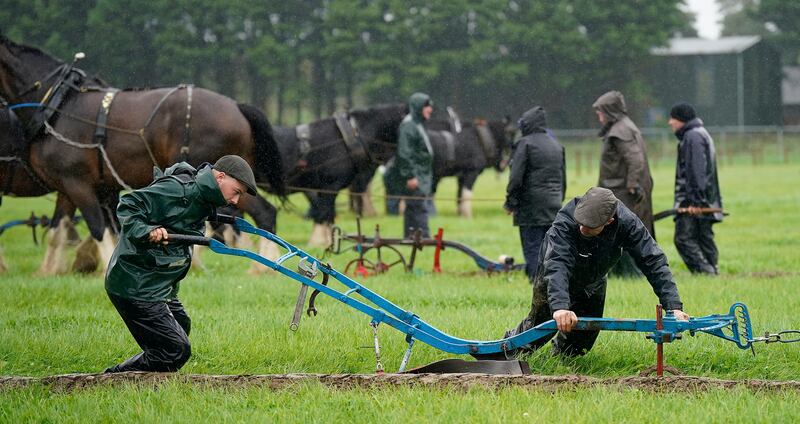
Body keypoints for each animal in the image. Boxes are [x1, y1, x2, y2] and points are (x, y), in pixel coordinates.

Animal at [0, 34, 286, 274]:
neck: (59, 103)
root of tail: (237, 106)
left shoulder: (78, 183)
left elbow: (98, 228)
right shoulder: (71, 187)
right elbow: (61, 232)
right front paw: (48, 271)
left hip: (233, 184)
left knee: (264, 213)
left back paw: (260, 268)